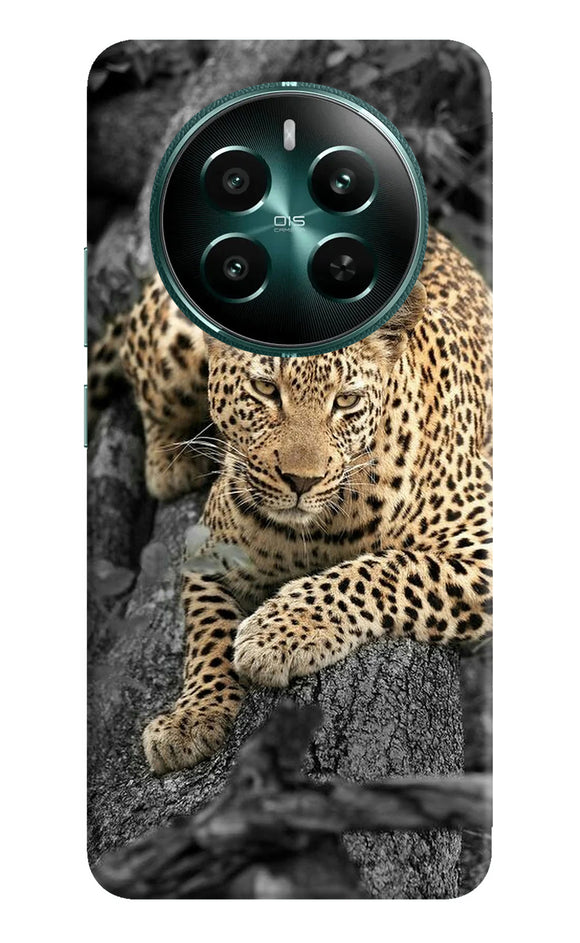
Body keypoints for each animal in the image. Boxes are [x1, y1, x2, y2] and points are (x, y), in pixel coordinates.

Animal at [89, 229, 492, 775]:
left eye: (346, 400)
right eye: (265, 389)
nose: (301, 480)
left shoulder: (482, 537)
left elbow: (383, 570)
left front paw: (276, 634)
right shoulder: (207, 555)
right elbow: (207, 632)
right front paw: (191, 718)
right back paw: (173, 461)